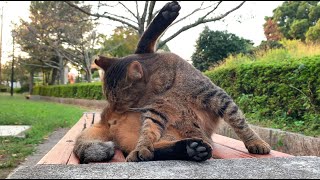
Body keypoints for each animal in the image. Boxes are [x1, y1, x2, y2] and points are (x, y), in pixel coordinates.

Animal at [74, 1, 272, 163]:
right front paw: (142, 147)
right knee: (155, 149)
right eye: (111, 99)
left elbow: (239, 121)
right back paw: (190, 149)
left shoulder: (216, 96)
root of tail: (104, 118)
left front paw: (255, 142)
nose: (115, 108)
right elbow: (148, 132)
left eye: (119, 100)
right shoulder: (156, 111)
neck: (168, 87)